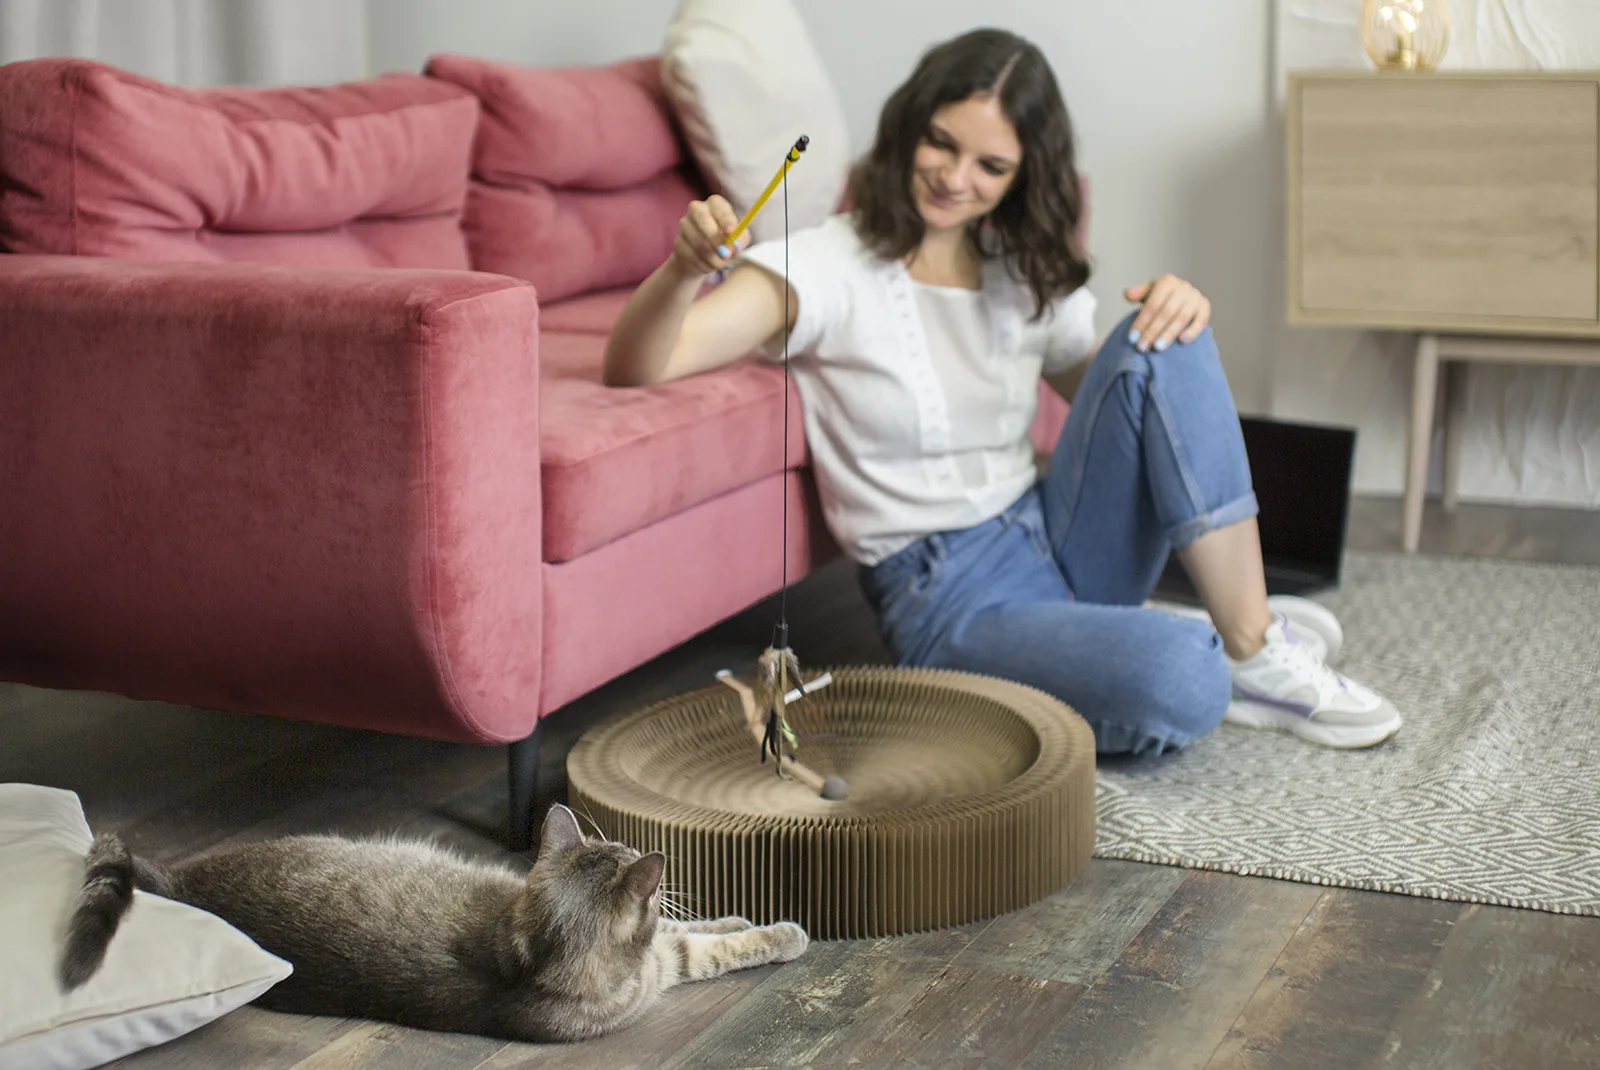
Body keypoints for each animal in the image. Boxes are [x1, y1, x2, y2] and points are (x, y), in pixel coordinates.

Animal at [56, 806, 806, 1036]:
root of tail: (183, 884)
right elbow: (706, 945)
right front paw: (779, 931)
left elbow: (699, 931)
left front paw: (733, 914)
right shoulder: (657, 966)